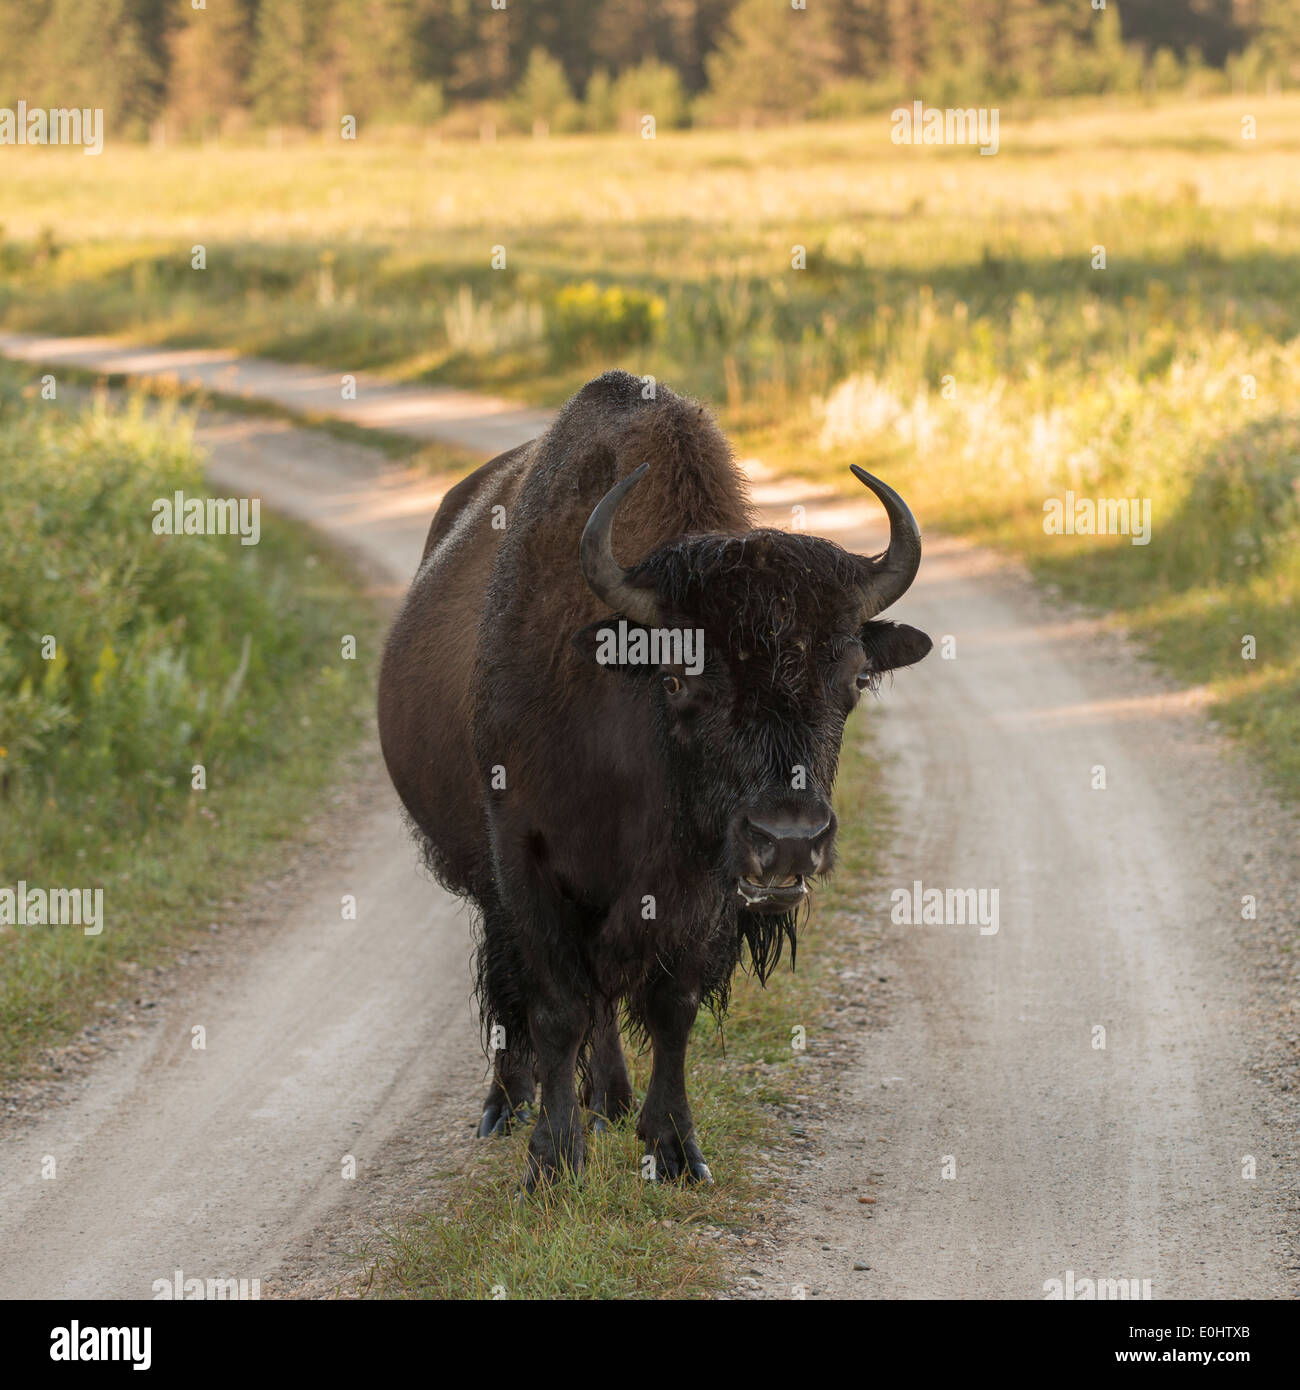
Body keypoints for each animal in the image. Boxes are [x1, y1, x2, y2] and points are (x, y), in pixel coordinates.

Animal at [380, 372, 928, 1195]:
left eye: (854, 680)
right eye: (677, 678)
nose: (788, 840)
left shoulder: (697, 893)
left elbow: (671, 1008)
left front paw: (674, 1151)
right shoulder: (525, 866)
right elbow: (555, 1008)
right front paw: (553, 1164)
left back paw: (608, 1101)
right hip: (484, 880)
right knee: (513, 992)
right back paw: (506, 1108)